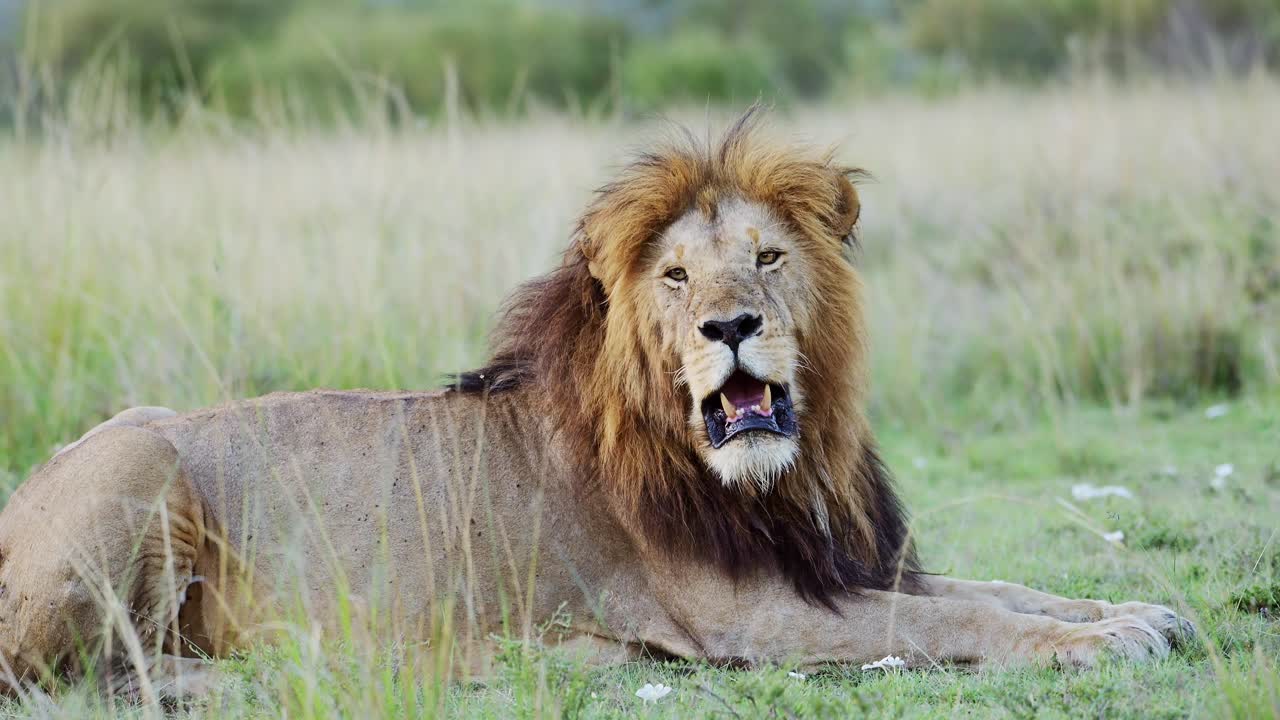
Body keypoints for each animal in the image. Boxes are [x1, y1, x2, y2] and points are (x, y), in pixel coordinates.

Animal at [0, 110, 1193, 698]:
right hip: (136, 465)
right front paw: (1100, 642)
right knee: (76, 675)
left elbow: (1009, 588)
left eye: (766, 258)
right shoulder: (750, 615)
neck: (780, 475)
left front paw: (1138, 613)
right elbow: (953, 618)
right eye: (675, 278)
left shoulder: (839, 560)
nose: (729, 326)